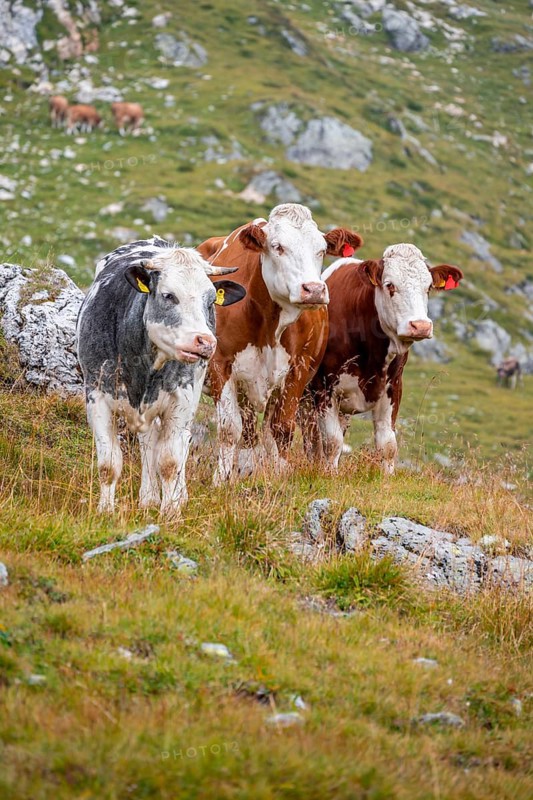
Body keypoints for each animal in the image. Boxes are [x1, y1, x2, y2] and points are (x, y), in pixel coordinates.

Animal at [76, 237, 246, 516]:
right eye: (169, 295)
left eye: (211, 300)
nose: (205, 342)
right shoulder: (97, 397)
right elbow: (108, 463)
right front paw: (106, 510)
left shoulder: (181, 401)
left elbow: (169, 461)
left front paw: (171, 510)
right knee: (147, 444)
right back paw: (148, 498)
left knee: (176, 444)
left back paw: (174, 496)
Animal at [197, 203, 363, 484]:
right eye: (277, 246)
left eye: (321, 249)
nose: (313, 289)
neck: (270, 325)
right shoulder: (222, 365)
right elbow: (230, 429)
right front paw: (221, 479)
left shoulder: (298, 370)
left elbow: (282, 428)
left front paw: (279, 474)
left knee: (262, 431)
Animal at [305, 243, 463, 474]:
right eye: (390, 285)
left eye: (428, 288)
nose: (420, 326)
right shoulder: (323, 387)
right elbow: (332, 442)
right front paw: (329, 475)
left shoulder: (393, 388)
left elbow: (387, 444)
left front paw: (387, 477)